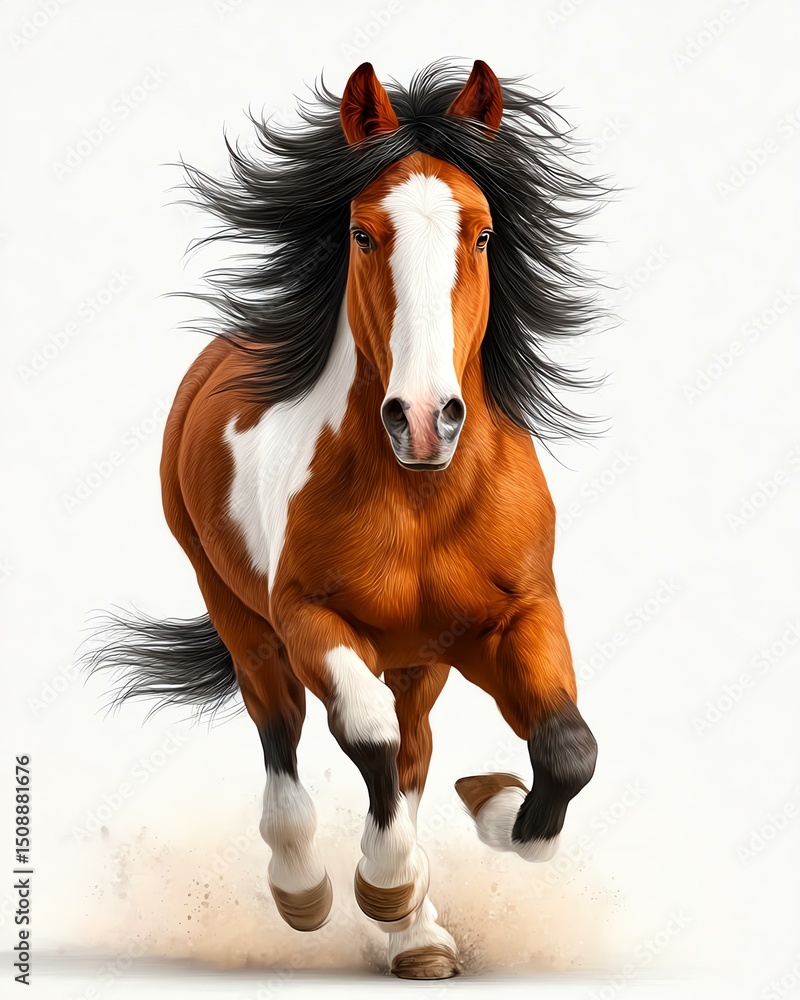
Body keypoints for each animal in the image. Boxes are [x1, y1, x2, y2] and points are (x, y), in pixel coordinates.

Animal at [88, 59, 605, 980]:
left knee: (416, 748)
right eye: (363, 233)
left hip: (420, 660)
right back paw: (309, 892)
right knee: (287, 738)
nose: (426, 420)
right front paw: (387, 887)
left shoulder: (518, 616)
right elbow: (366, 737)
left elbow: (565, 749)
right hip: (240, 617)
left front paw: (491, 805)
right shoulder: (309, 619)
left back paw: (422, 936)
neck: (421, 497)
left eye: (482, 234)